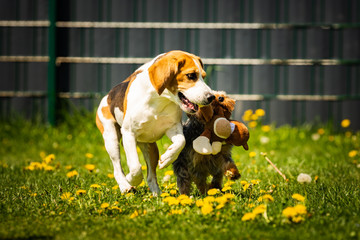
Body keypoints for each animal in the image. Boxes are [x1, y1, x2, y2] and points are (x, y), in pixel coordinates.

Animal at [95, 50, 214, 195]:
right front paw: (131, 179)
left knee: (151, 175)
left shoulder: (173, 128)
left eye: (203, 76)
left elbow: (181, 142)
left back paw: (157, 194)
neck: (159, 99)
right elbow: (135, 167)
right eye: (191, 76)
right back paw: (125, 185)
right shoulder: (129, 133)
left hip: (150, 147)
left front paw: (167, 158)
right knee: (117, 167)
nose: (211, 97)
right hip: (111, 139)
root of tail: (107, 96)